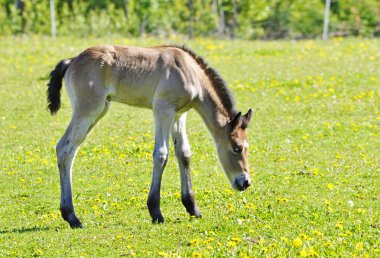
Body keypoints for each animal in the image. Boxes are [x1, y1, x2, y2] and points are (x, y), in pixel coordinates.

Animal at [47, 44, 252, 228]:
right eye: (236, 147)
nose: (245, 182)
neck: (189, 70)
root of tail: (72, 60)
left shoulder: (179, 115)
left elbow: (184, 153)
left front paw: (193, 208)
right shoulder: (163, 109)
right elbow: (161, 154)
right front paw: (156, 212)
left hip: (99, 110)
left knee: (71, 149)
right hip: (89, 109)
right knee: (64, 148)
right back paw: (72, 217)